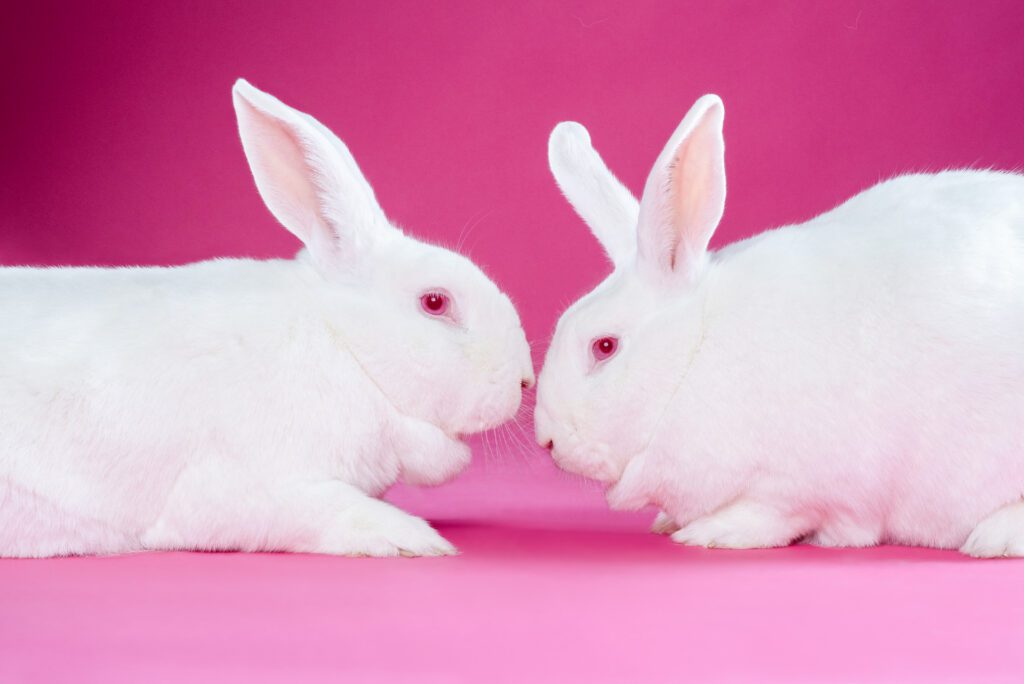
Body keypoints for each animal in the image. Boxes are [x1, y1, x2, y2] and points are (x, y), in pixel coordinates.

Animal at [0, 79, 533, 558]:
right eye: (436, 302)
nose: (525, 380)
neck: (345, 349)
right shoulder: (241, 489)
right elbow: (330, 510)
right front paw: (414, 539)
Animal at [535, 94, 1024, 557]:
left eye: (604, 346)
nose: (547, 440)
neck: (693, 357)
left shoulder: (796, 483)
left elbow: (770, 514)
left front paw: (711, 532)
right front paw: (668, 523)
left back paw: (995, 538)